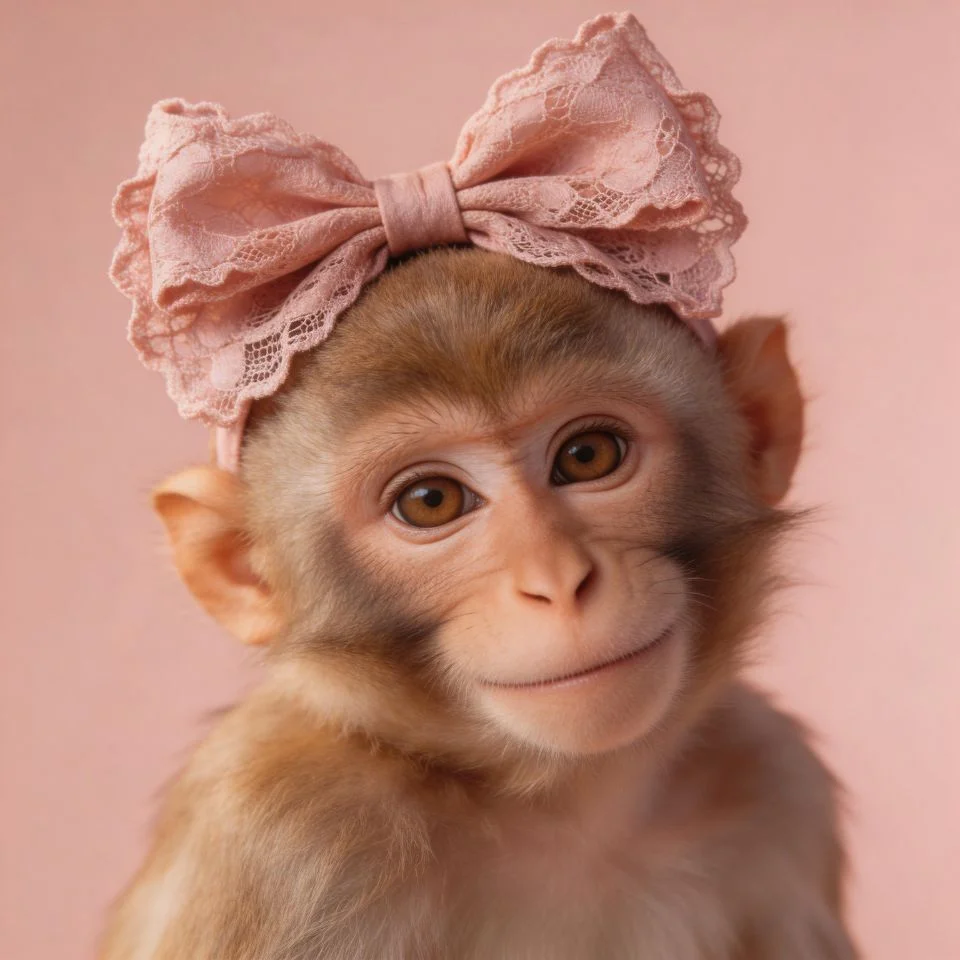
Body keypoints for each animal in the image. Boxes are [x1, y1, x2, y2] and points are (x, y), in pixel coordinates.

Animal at [98, 248, 857, 960]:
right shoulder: (281, 838)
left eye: (588, 454)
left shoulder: (777, 784)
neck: (569, 812)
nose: (557, 581)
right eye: (430, 501)